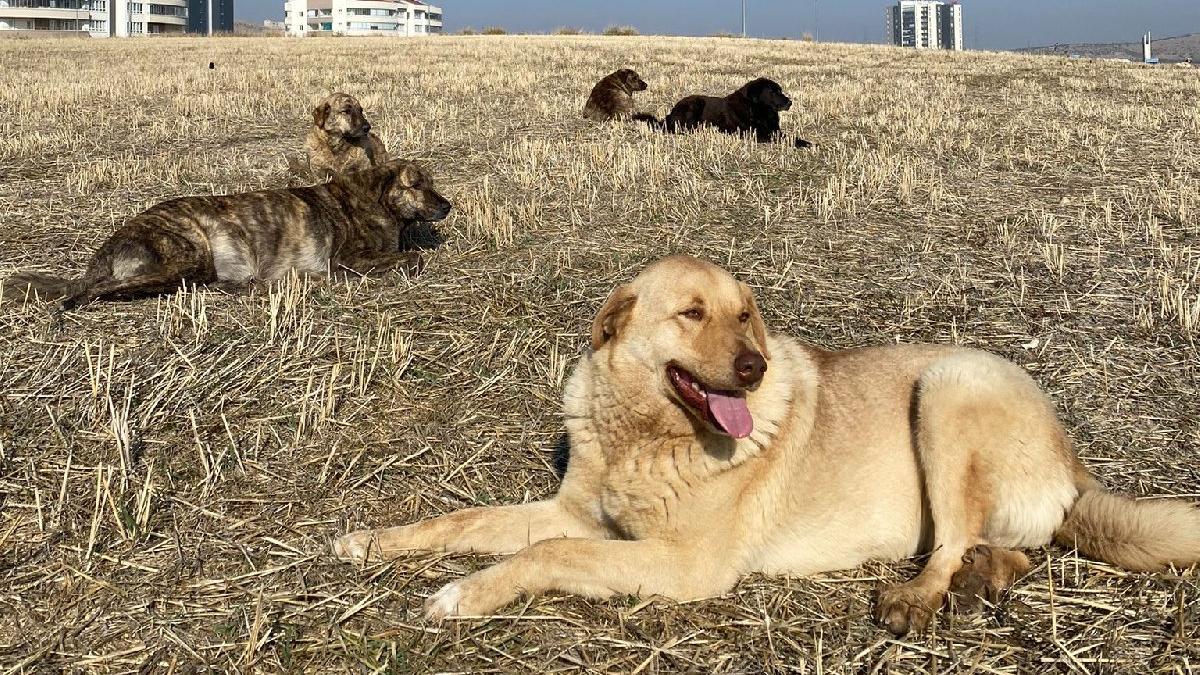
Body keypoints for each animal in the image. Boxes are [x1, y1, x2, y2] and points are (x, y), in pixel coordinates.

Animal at [4, 159, 451, 307]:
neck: (375, 200)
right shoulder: (347, 260)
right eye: (416, 184)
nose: (448, 206)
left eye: (431, 182)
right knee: (97, 291)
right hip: (187, 256)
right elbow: (413, 258)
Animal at [336, 254, 1200, 634]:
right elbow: (464, 520)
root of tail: (1073, 456)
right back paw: (985, 576)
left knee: (955, 538)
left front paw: (461, 593)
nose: (752, 367)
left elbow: (545, 554)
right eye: (691, 312)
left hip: (947, 384)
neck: (645, 433)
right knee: (1013, 547)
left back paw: (918, 596)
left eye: (746, 313)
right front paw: (369, 541)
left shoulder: (683, 565)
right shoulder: (574, 510)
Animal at [633, 77, 811, 148]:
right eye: (773, 92)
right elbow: (783, 138)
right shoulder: (754, 133)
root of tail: (670, 113)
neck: (757, 109)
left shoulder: (774, 129)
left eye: (780, 90)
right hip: (694, 105)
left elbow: (789, 136)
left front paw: (806, 142)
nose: (789, 102)